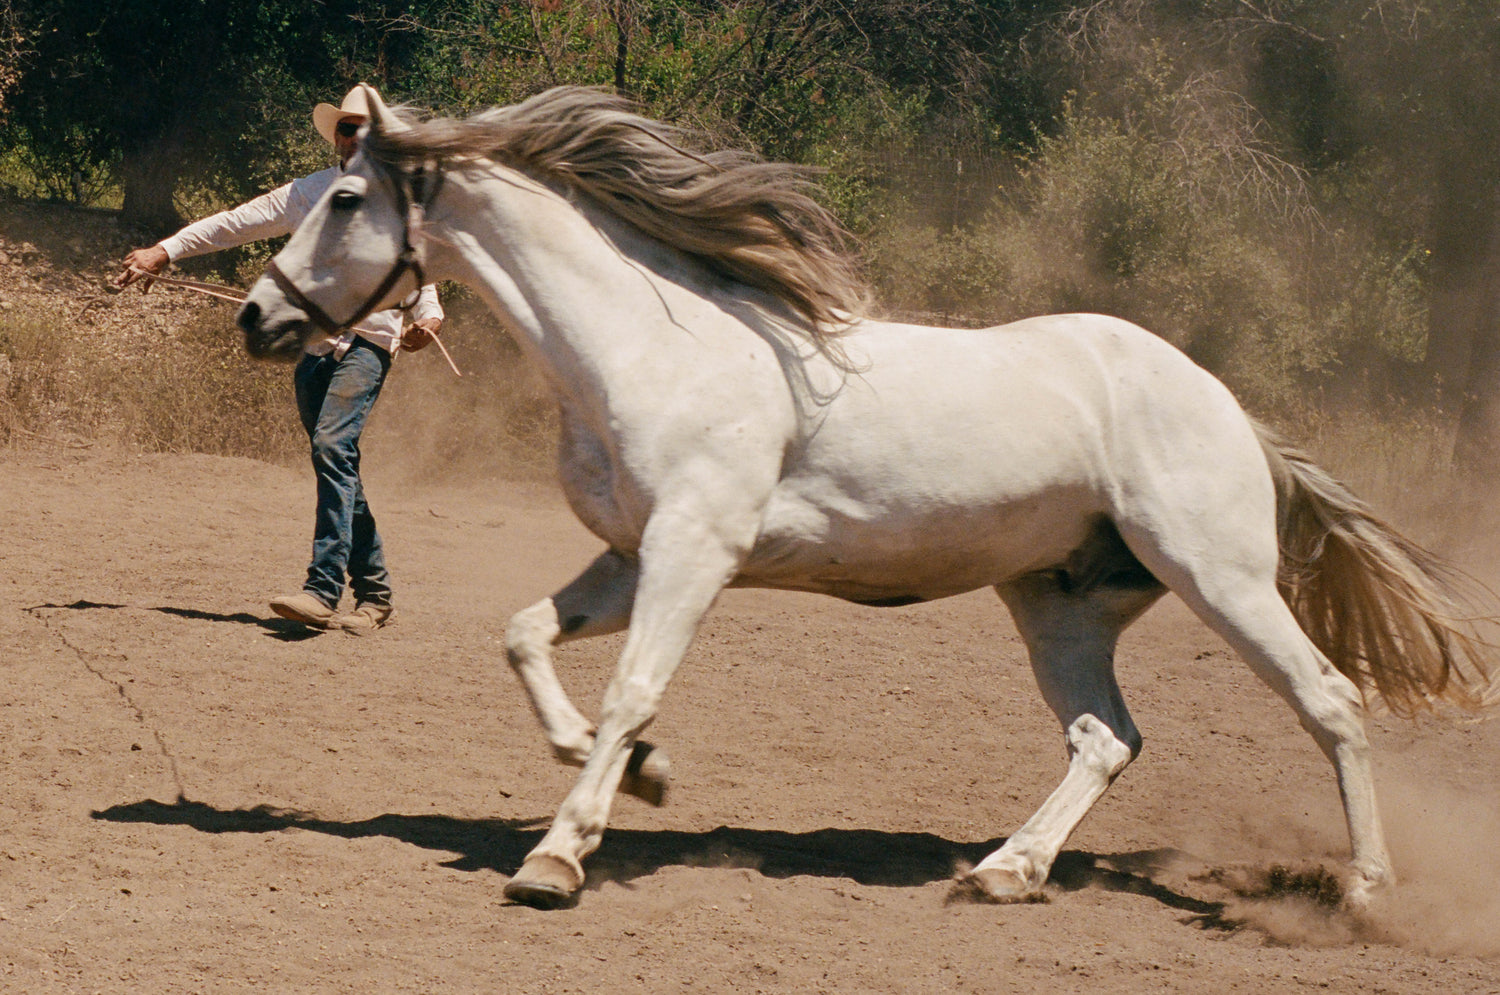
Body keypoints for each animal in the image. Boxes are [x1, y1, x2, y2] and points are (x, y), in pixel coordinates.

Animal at [236, 84, 1497, 911]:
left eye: (344, 199)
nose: (259, 315)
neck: (652, 346)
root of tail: (1230, 407)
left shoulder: (693, 551)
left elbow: (633, 683)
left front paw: (558, 854)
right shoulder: (637, 554)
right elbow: (526, 638)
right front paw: (635, 771)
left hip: (1219, 574)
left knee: (1330, 700)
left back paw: (1364, 890)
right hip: (1058, 603)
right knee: (1108, 738)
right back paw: (1004, 871)